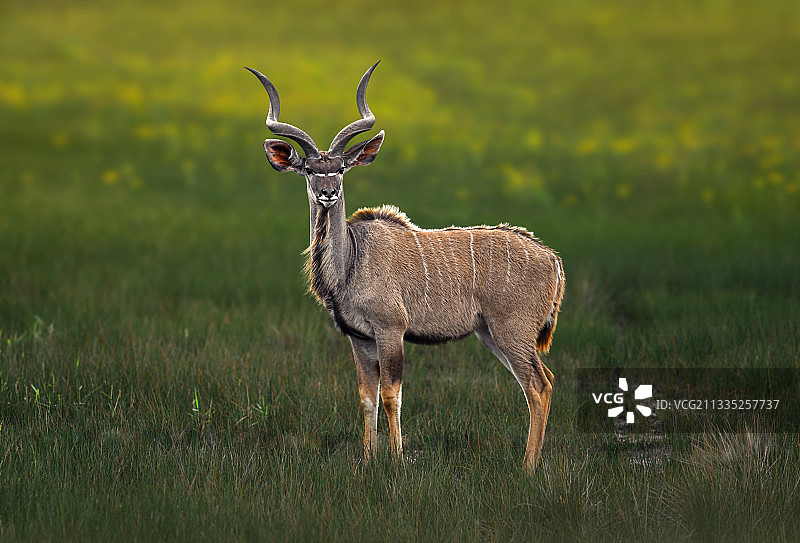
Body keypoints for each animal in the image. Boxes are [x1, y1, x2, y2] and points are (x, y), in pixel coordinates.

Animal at [245, 62, 565, 470]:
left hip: (512, 331)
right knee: (543, 380)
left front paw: (396, 459)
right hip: (491, 334)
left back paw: (527, 467)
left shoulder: (390, 330)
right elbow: (367, 397)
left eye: (341, 169)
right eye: (310, 170)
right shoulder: (360, 338)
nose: (328, 192)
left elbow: (391, 394)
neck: (352, 260)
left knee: (538, 385)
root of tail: (552, 259)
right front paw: (368, 460)